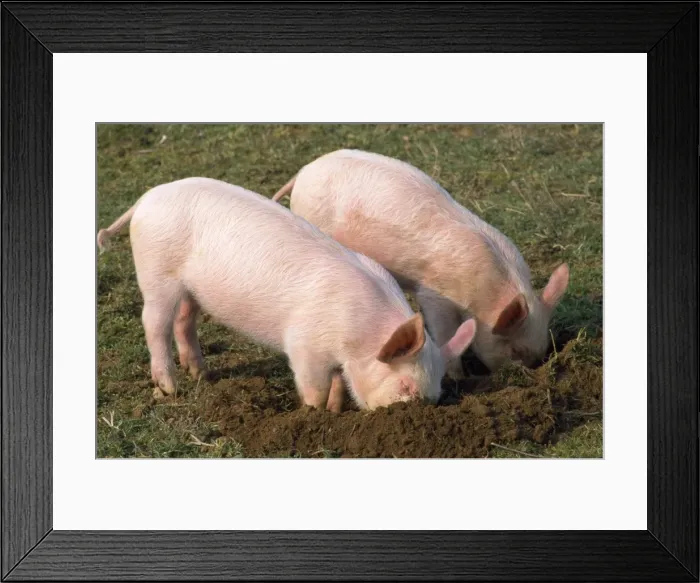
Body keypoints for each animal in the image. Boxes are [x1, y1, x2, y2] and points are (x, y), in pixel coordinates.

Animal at [97, 177, 477, 410]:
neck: (360, 333)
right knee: (153, 323)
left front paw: (336, 409)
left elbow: (338, 383)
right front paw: (316, 413)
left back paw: (202, 375)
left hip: (190, 288)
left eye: (435, 392)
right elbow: (314, 386)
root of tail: (146, 199)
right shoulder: (304, 345)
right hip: (156, 272)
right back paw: (170, 388)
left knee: (184, 320)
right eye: (405, 387)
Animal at [272, 149, 570, 375]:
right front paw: (459, 377)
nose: (529, 372)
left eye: (543, 346)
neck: (486, 294)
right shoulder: (434, 294)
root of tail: (303, 172)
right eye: (515, 348)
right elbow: (445, 332)